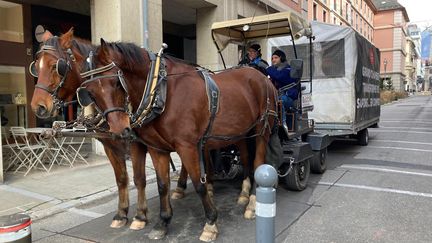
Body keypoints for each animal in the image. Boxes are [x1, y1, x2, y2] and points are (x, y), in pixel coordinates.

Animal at [80, 39, 276, 240]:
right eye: (90, 93)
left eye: (117, 83)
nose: (119, 131)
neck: (161, 90)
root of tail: (261, 76)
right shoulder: (157, 148)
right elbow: (162, 184)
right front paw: (162, 222)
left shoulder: (187, 146)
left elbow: (198, 184)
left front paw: (210, 222)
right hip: (241, 133)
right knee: (245, 156)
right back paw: (244, 193)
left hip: (262, 131)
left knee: (258, 162)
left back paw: (252, 203)